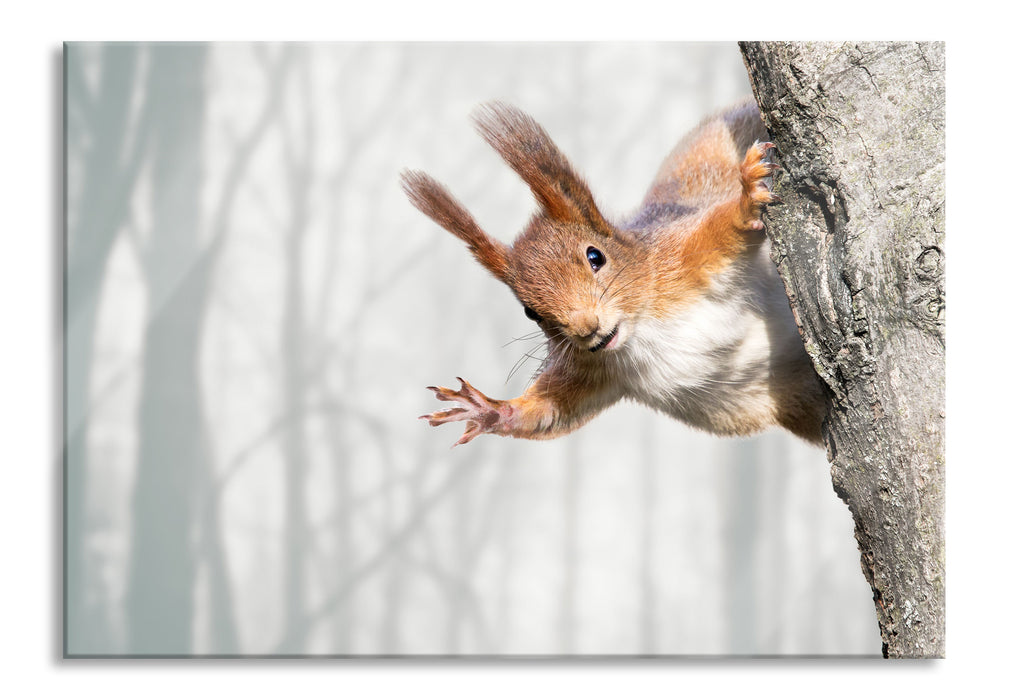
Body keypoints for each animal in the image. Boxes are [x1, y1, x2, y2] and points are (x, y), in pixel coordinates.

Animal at [401, 97, 827, 447]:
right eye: (529, 312)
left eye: (595, 257)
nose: (587, 329)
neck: (641, 330)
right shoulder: (592, 370)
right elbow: (551, 412)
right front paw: (488, 409)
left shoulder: (682, 257)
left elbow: (721, 228)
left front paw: (746, 199)